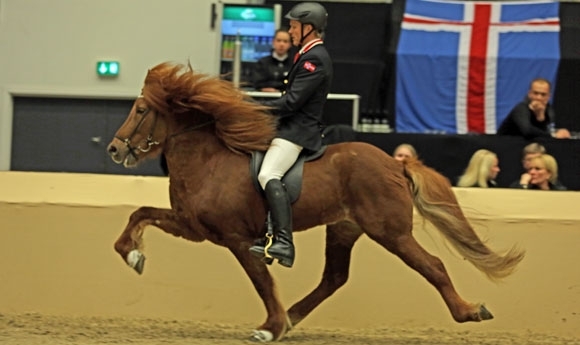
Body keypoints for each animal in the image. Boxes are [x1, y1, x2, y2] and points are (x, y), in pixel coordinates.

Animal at [107, 61, 524, 342]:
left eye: (140, 110)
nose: (114, 149)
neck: (209, 161)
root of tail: (395, 162)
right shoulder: (192, 226)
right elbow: (140, 214)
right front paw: (133, 255)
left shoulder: (237, 240)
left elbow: (262, 282)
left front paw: (271, 327)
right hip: (344, 229)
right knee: (334, 278)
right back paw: (293, 317)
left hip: (390, 231)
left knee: (432, 265)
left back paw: (469, 311)